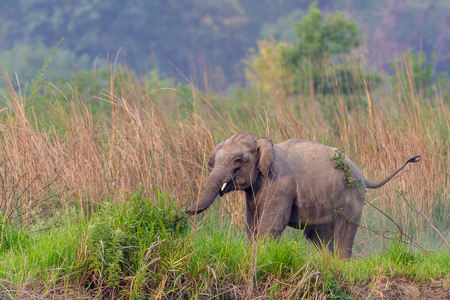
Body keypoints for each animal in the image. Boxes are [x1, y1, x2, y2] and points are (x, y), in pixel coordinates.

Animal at [185, 133, 420, 258]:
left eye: (237, 160)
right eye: (214, 161)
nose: (183, 210)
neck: (265, 143)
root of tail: (362, 176)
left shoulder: (280, 185)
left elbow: (272, 225)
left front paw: (261, 255)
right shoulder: (254, 193)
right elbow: (252, 224)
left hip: (352, 198)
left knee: (344, 231)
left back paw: (340, 264)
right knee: (319, 236)